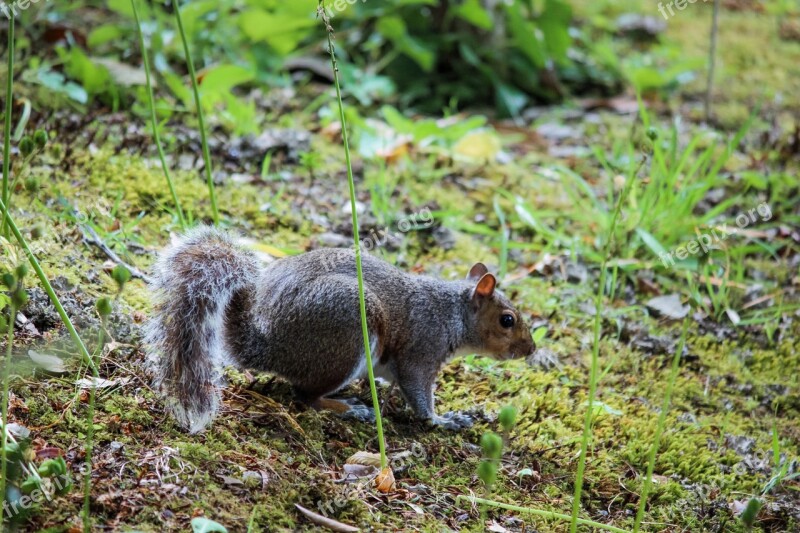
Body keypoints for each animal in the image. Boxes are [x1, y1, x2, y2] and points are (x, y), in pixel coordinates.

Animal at [147, 224, 536, 432]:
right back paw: (349, 407)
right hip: (348, 333)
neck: (452, 312)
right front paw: (444, 420)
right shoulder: (422, 349)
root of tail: (266, 344)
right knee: (305, 396)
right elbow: (418, 392)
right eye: (507, 320)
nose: (530, 350)